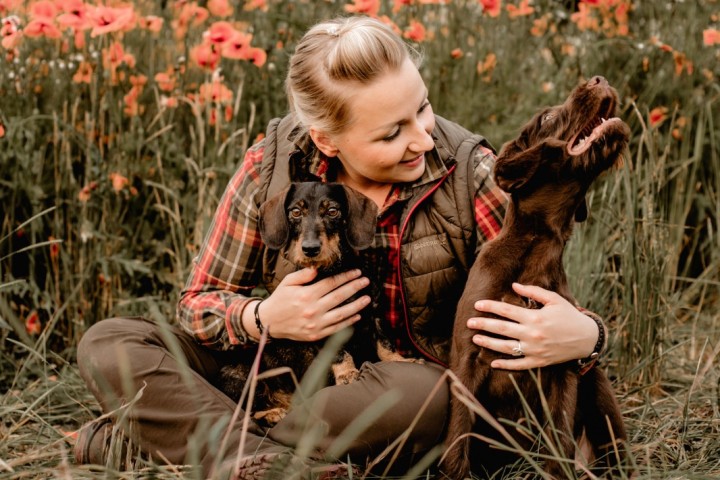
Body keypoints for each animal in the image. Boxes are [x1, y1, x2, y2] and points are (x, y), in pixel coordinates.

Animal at [442, 77, 632, 478]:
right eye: (545, 117)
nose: (599, 80)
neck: (535, 250)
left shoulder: (564, 371)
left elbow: (558, 445)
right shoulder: (466, 360)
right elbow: (456, 445)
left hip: (597, 386)